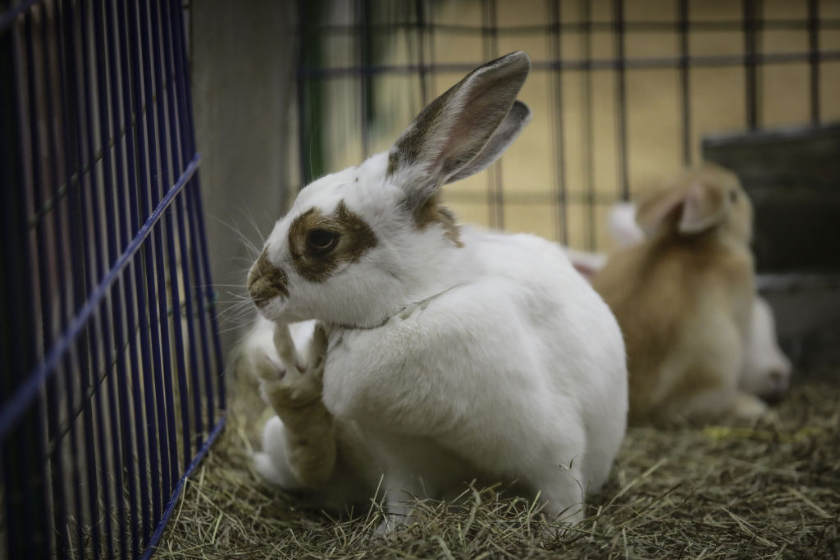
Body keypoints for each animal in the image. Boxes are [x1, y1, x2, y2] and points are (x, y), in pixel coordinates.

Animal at [241, 51, 624, 524]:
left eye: (320, 239)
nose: (255, 289)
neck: (415, 303)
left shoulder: (555, 444)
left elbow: (562, 498)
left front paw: (562, 533)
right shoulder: (400, 455)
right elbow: (403, 501)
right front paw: (391, 533)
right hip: (292, 446)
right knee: (310, 467)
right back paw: (291, 386)